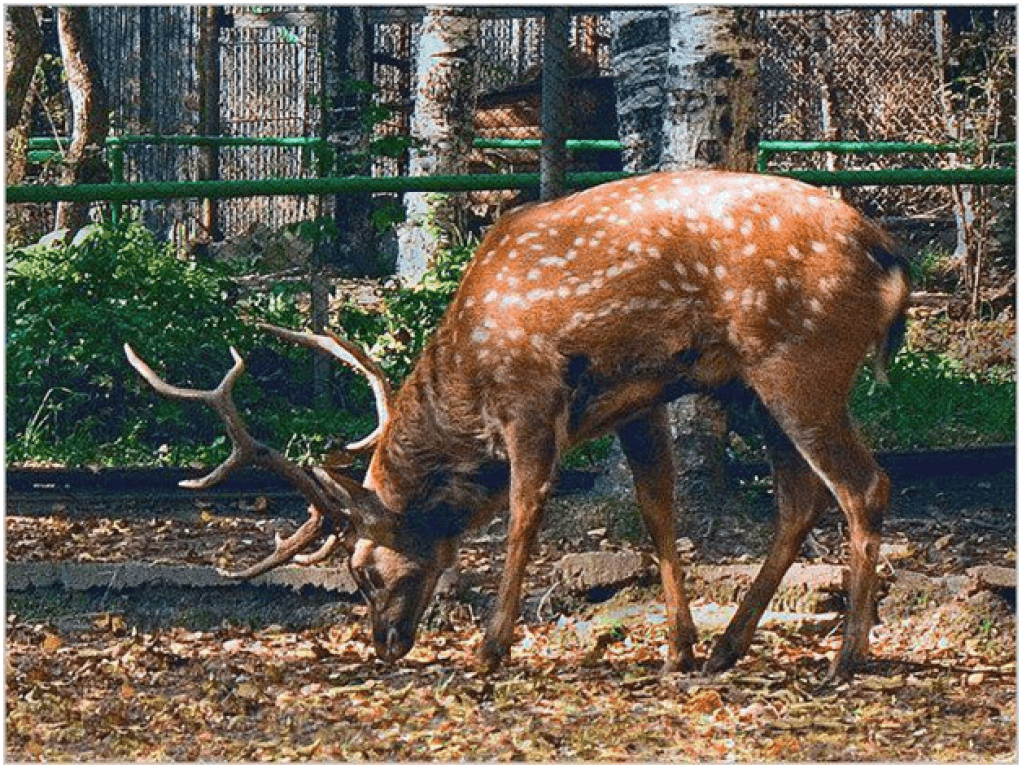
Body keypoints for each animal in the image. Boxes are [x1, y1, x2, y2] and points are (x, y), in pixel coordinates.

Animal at [125, 167, 911, 679]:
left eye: (363, 571)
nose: (383, 644)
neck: (468, 378)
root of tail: (893, 262)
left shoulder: (531, 397)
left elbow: (525, 512)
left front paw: (491, 646)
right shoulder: (641, 399)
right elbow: (657, 508)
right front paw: (680, 647)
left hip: (801, 362)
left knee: (864, 485)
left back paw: (847, 657)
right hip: (754, 385)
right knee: (801, 498)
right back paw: (730, 647)